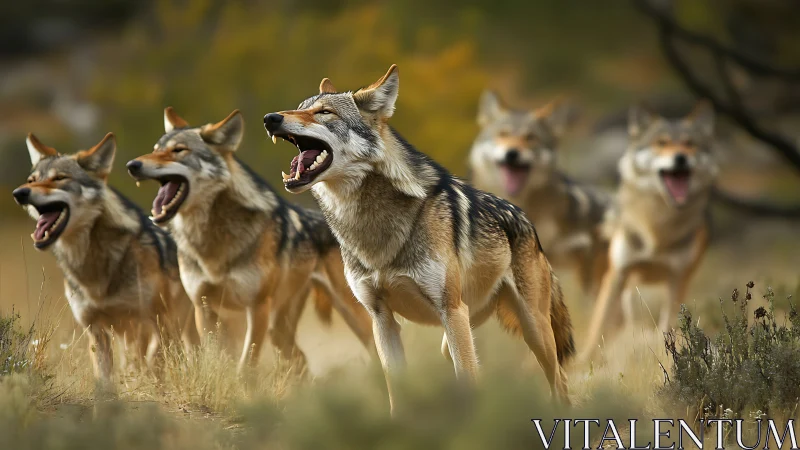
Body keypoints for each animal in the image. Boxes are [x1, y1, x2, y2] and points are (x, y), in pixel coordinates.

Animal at [11, 133, 197, 384]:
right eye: (31, 180)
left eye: (59, 178)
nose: (20, 193)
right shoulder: (96, 330)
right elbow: (105, 381)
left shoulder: (156, 322)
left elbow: (153, 365)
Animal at [126, 108, 373, 371]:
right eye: (155, 149)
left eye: (179, 150)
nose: (133, 165)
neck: (213, 242)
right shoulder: (203, 308)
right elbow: (216, 357)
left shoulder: (257, 307)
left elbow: (246, 364)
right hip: (279, 329)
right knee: (300, 360)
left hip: (351, 312)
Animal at [262, 65, 575, 412]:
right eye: (300, 108)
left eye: (324, 112)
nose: (270, 118)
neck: (373, 226)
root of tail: (525, 218)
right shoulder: (381, 318)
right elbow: (396, 390)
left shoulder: (450, 310)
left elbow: (467, 381)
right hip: (459, 331)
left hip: (530, 329)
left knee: (559, 382)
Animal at [580, 101, 716, 361]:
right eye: (661, 142)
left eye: (690, 143)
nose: (681, 157)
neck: (657, 229)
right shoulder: (618, 273)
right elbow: (596, 328)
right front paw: (585, 362)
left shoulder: (677, 277)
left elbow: (668, 325)